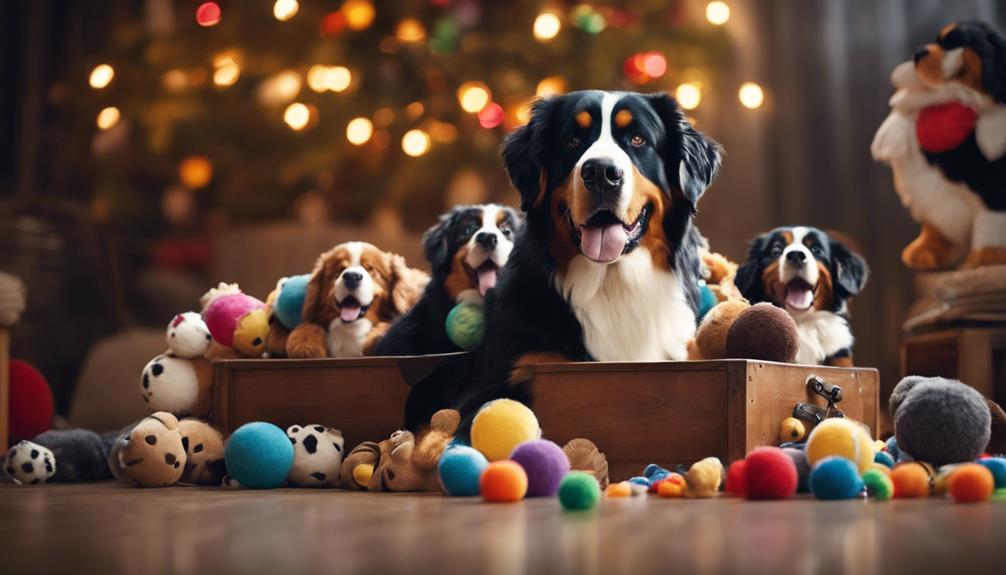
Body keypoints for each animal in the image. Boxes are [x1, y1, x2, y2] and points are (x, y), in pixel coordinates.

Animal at [285, 242, 426, 359]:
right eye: (340, 269)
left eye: (370, 269)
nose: (352, 276)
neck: (350, 331)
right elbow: (306, 328)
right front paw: (306, 347)